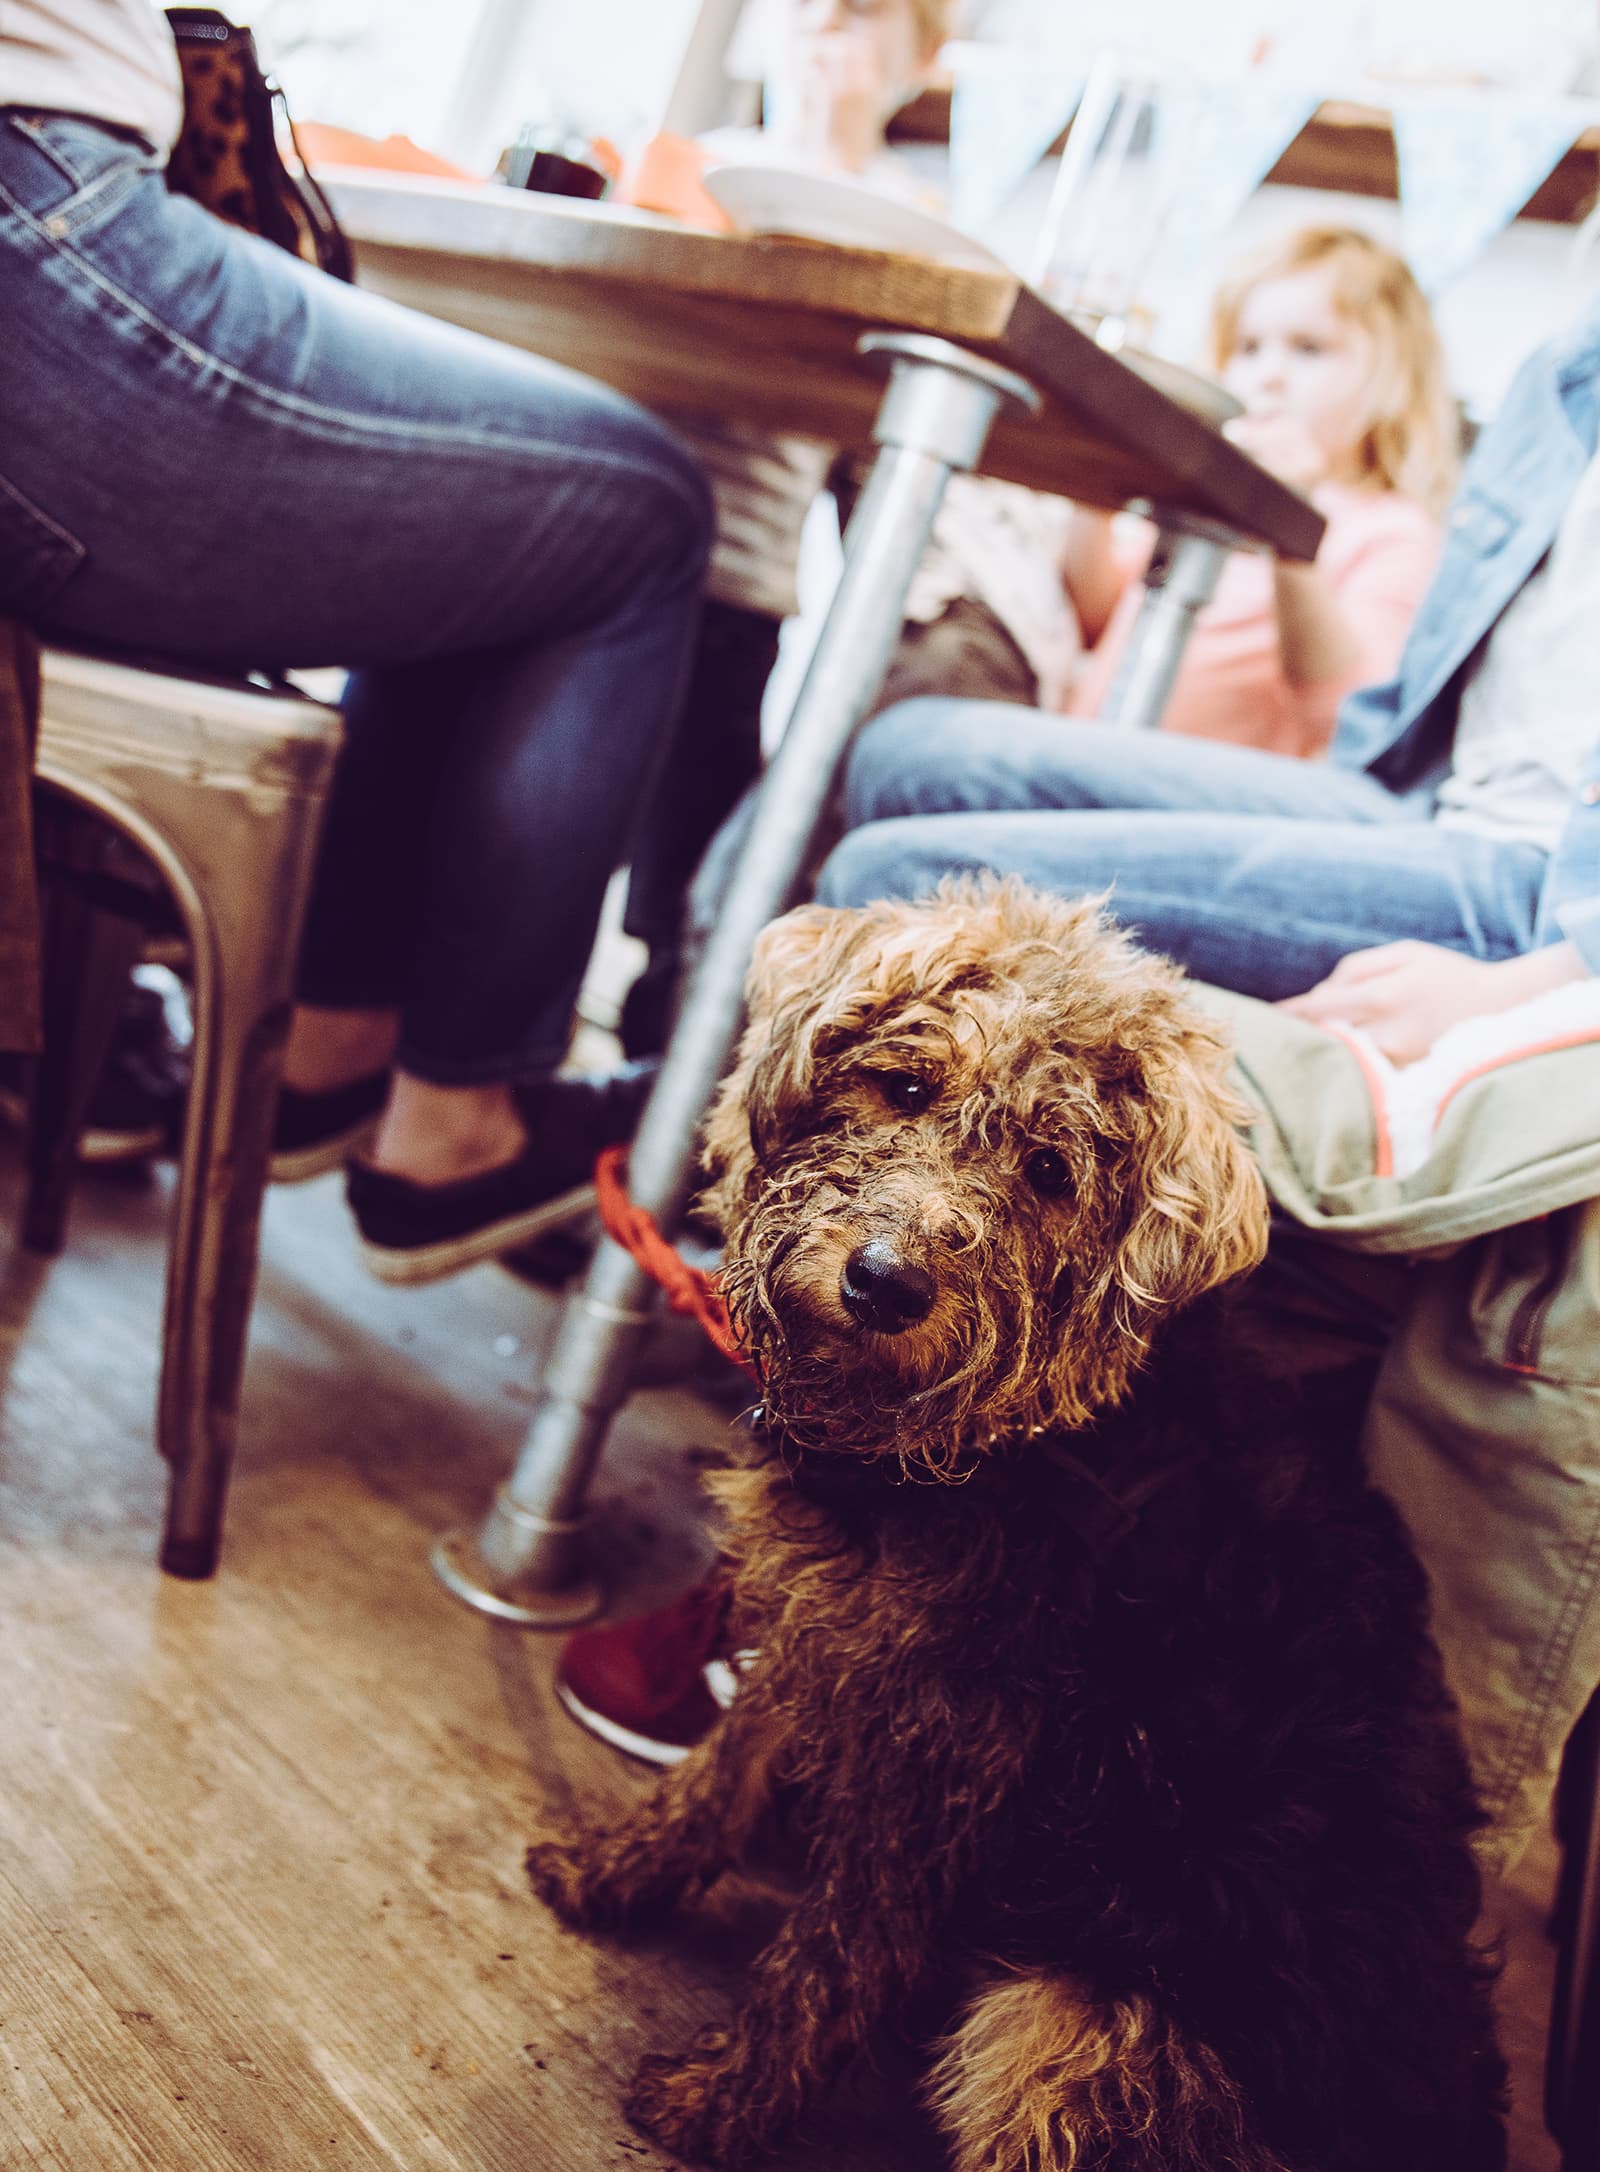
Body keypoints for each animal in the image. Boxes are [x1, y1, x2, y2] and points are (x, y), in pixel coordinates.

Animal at [525, 873, 1493, 2163]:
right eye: (905, 1084)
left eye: (1048, 1171)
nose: (883, 1284)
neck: (989, 1451)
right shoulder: (837, 1641)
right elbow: (715, 1774)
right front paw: (611, 1872)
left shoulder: (942, 1757)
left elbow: (832, 1955)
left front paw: (723, 2103)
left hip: (1061, 2027)